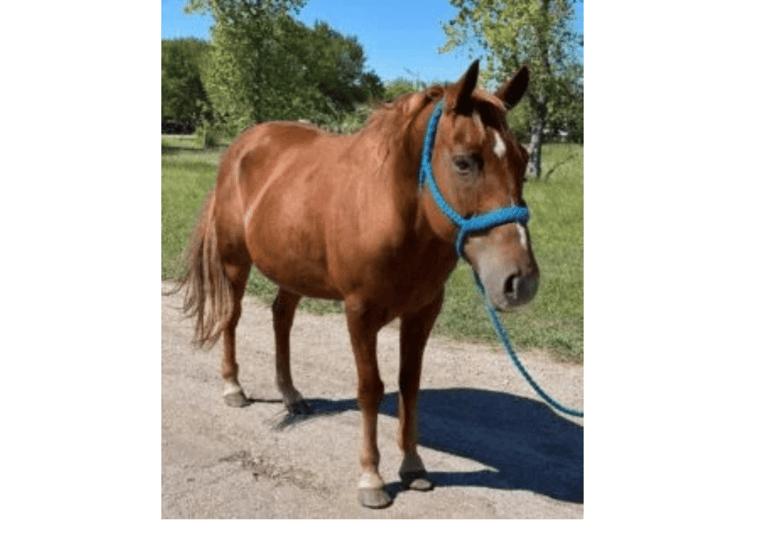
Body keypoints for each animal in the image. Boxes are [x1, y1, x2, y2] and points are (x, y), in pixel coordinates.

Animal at [170, 60, 539, 509]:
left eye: (523, 159)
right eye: (465, 162)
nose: (520, 281)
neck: (392, 209)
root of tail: (241, 147)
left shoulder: (423, 312)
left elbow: (409, 385)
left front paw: (413, 466)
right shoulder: (359, 312)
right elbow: (370, 388)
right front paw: (372, 478)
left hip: (293, 268)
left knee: (281, 317)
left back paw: (291, 395)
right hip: (234, 262)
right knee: (233, 318)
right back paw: (233, 387)